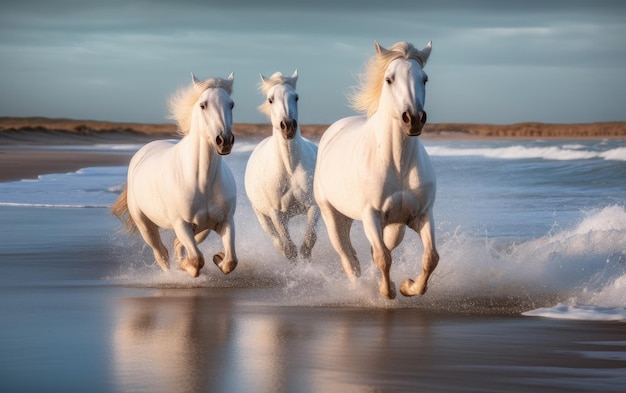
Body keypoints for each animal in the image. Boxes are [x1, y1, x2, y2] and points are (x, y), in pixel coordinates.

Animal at [111, 72, 238, 278]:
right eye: (203, 105)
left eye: (231, 104)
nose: (224, 140)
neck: (201, 182)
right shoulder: (182, 224)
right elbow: (196, 260)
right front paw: (186, 267)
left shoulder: (225, 221)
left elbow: (230, 261)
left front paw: (218, 258)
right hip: (145, 225)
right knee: (161, 253)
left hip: (202, 228)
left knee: (177, 245)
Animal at [244, 70, 320, 260]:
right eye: (270, 99)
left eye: (296, 97)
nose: (288, 126)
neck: (289, 168)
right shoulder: (276, 213)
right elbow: (289, 249)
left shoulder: (313, 206)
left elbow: (307, 244)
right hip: (263, 216)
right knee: (278, 243)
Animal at [312, 40, 438, 298]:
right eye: (389, 79)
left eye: (425, 79)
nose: (413, 119)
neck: (398, 164)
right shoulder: (371, 216)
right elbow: (382, 258)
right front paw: (386, 291)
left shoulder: (422, 215)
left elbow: (430, 258)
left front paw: (407, 286)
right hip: (333, 216)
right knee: (349, 259)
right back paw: (360, 288)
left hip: (392, 226)